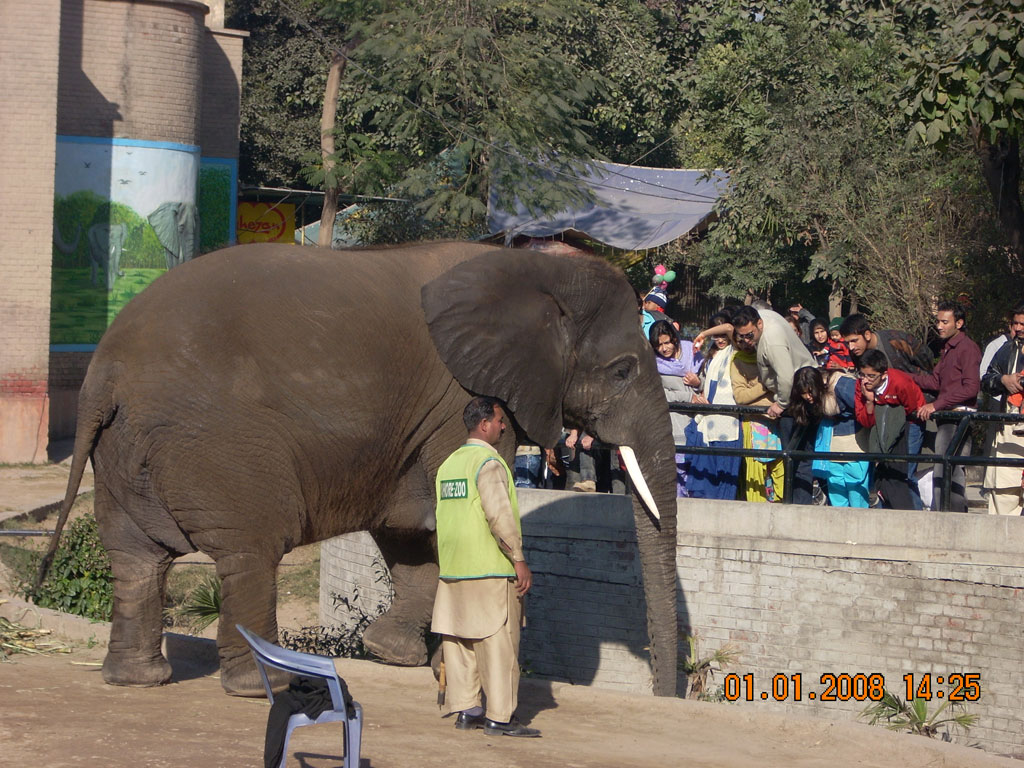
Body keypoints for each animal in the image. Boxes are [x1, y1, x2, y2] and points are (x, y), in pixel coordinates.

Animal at [41, 243, 679, 700]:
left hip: (123, 450)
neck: (536, 267)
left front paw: (391, 653)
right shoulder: (461, 400)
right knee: (250, 549)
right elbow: (438, 520)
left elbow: (411, 527)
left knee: (134, 558)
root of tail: (104, 370)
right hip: (218, 444)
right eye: (623, 371)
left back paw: (135, 680)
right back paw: (267, 687)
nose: (665, 692)